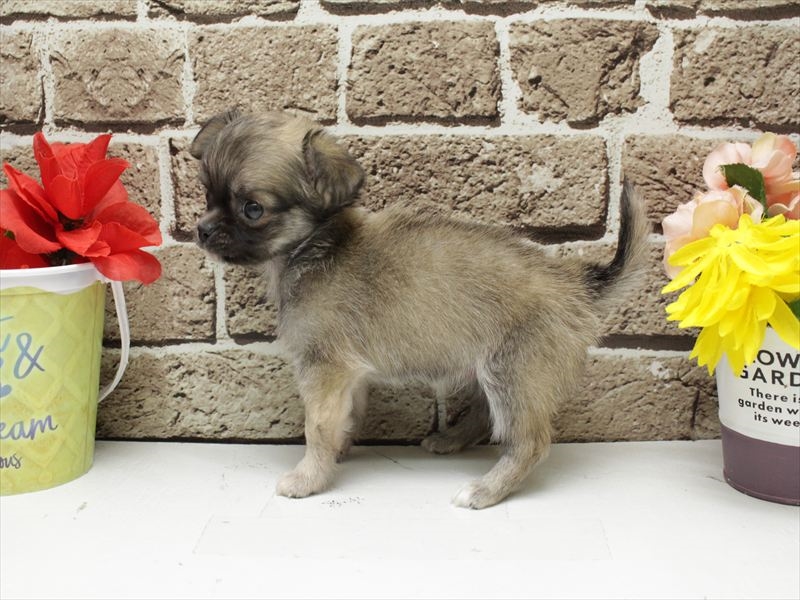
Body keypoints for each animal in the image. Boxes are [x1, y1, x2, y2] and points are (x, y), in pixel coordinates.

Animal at [190, 109, 649, 509]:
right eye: (208, 194)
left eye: (252, 209)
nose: (202, 230)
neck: (313, 247)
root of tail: (577, 285)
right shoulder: (349, 375)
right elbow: (345, 419)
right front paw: (336, 456)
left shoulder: (324, 369)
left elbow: (317, 427)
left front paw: (308, 478)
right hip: (491, 371)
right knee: (486, 418)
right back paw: (449, 440)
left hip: (514, 373)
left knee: (529, 443)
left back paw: (485, 490)